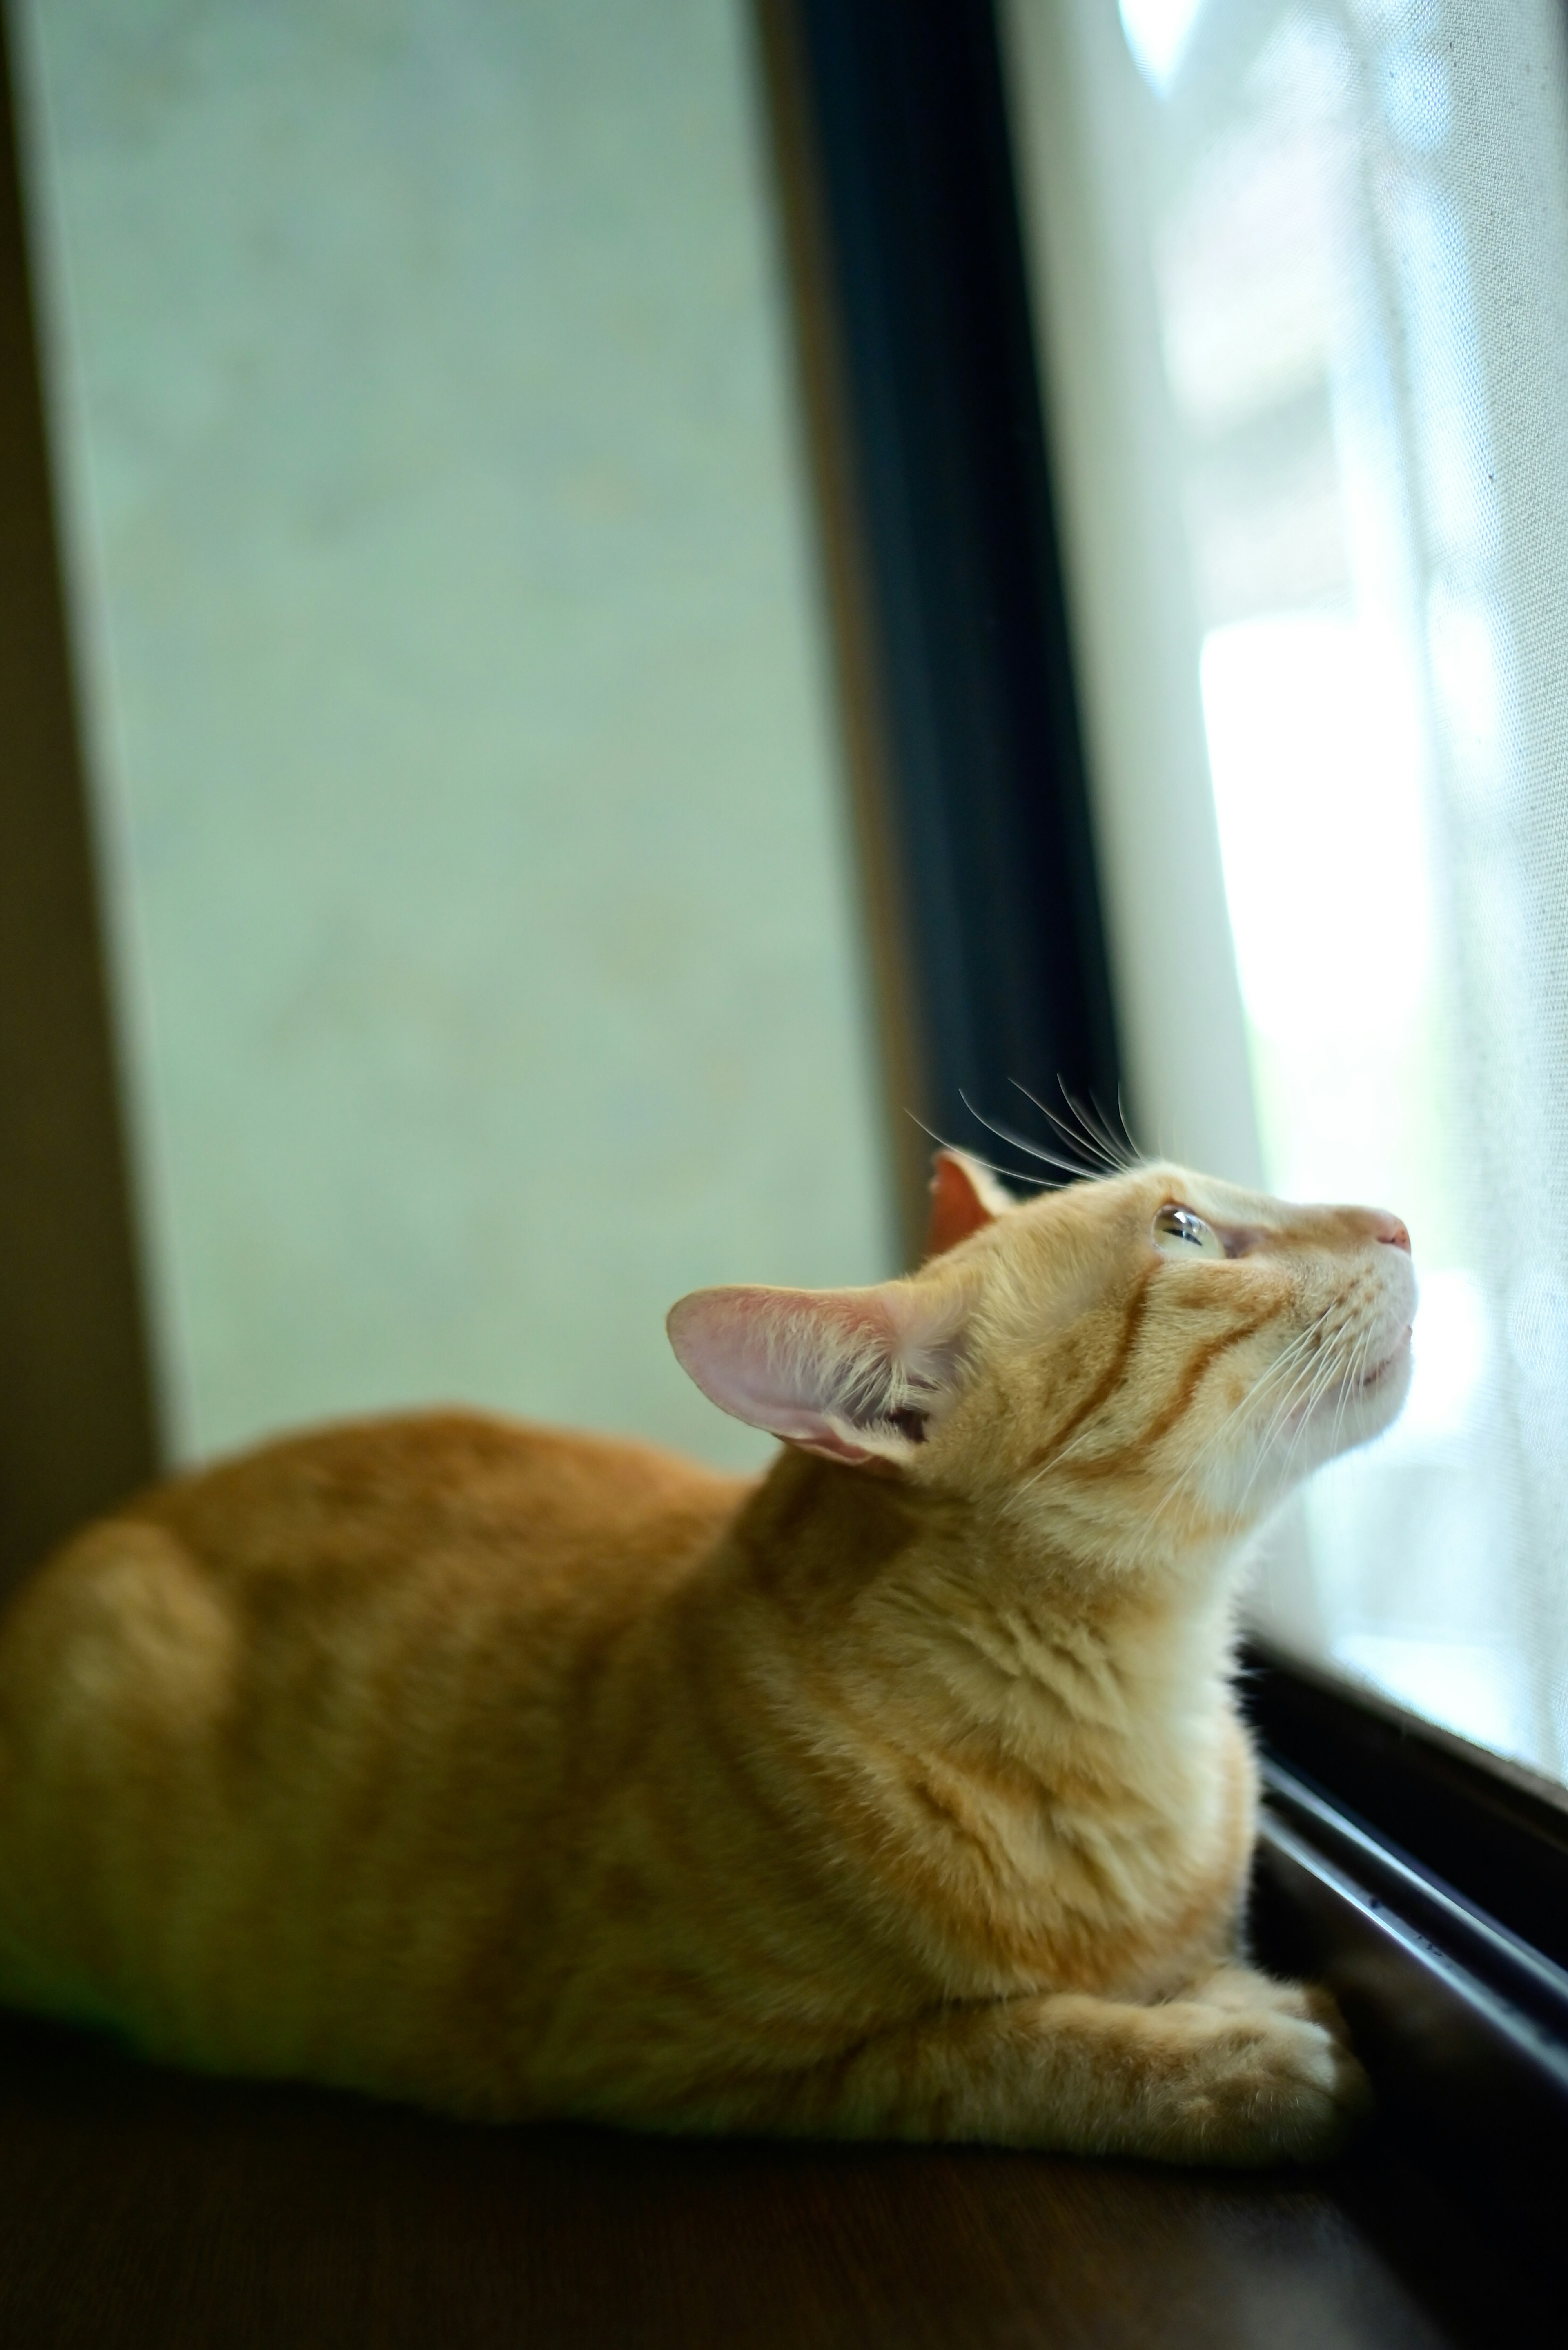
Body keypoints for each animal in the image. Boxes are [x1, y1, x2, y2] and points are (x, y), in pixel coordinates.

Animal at [0, 1156, 1420, 2162]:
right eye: (1183, 1231)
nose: (1397, 1221)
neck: (1148, 1706)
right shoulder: (681, 2058)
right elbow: (995, 2049)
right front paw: (1226, 2061)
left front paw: (1223, 1998)